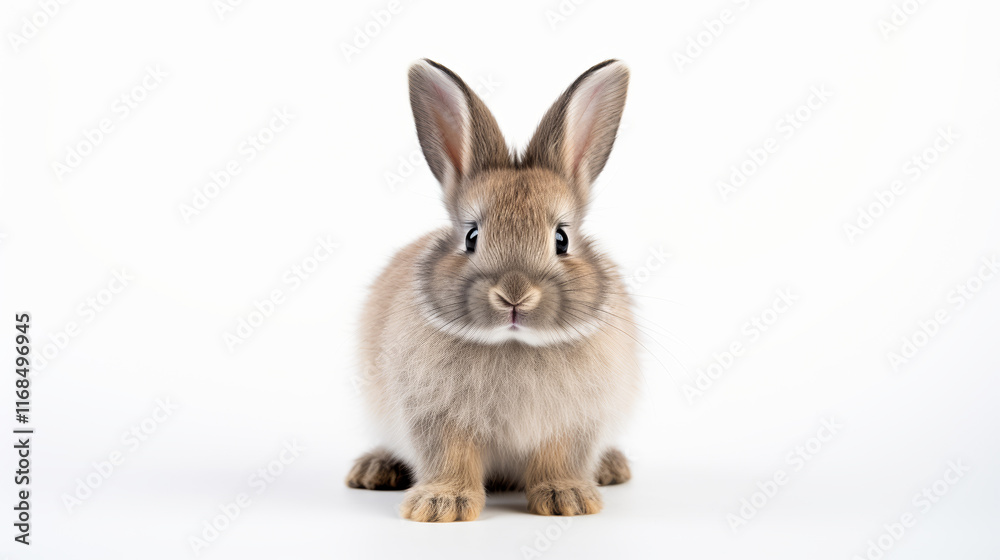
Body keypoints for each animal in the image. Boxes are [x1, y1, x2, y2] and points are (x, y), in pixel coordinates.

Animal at [346, 58, 641, 522]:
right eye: (471, 237)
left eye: (561, 239)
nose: (514, 295)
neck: (513, 344)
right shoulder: (436, 417)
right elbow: (451, 458)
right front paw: (441, 505)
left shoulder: (573, 423)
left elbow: (559, 458)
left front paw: (568, 499)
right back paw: (373, 469)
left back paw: (611, 467)